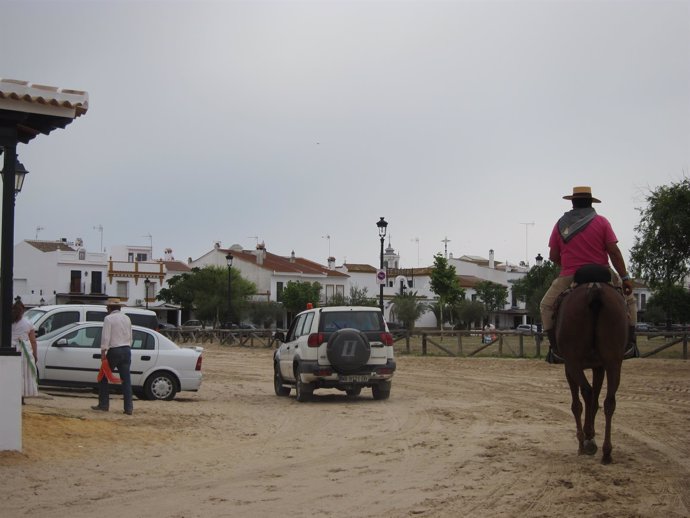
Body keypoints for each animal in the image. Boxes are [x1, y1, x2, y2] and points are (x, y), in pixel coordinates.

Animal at [552, 266, 628, 466]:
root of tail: (594, 290)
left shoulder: (569, 367)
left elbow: (577, 403)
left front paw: (584, 440)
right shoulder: (599, 366)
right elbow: (595, 401)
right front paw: (590, 436)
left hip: (574, 362)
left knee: (586, 393)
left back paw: (587, 443)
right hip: (613, 361)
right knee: (609, 401)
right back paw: (606, 452)